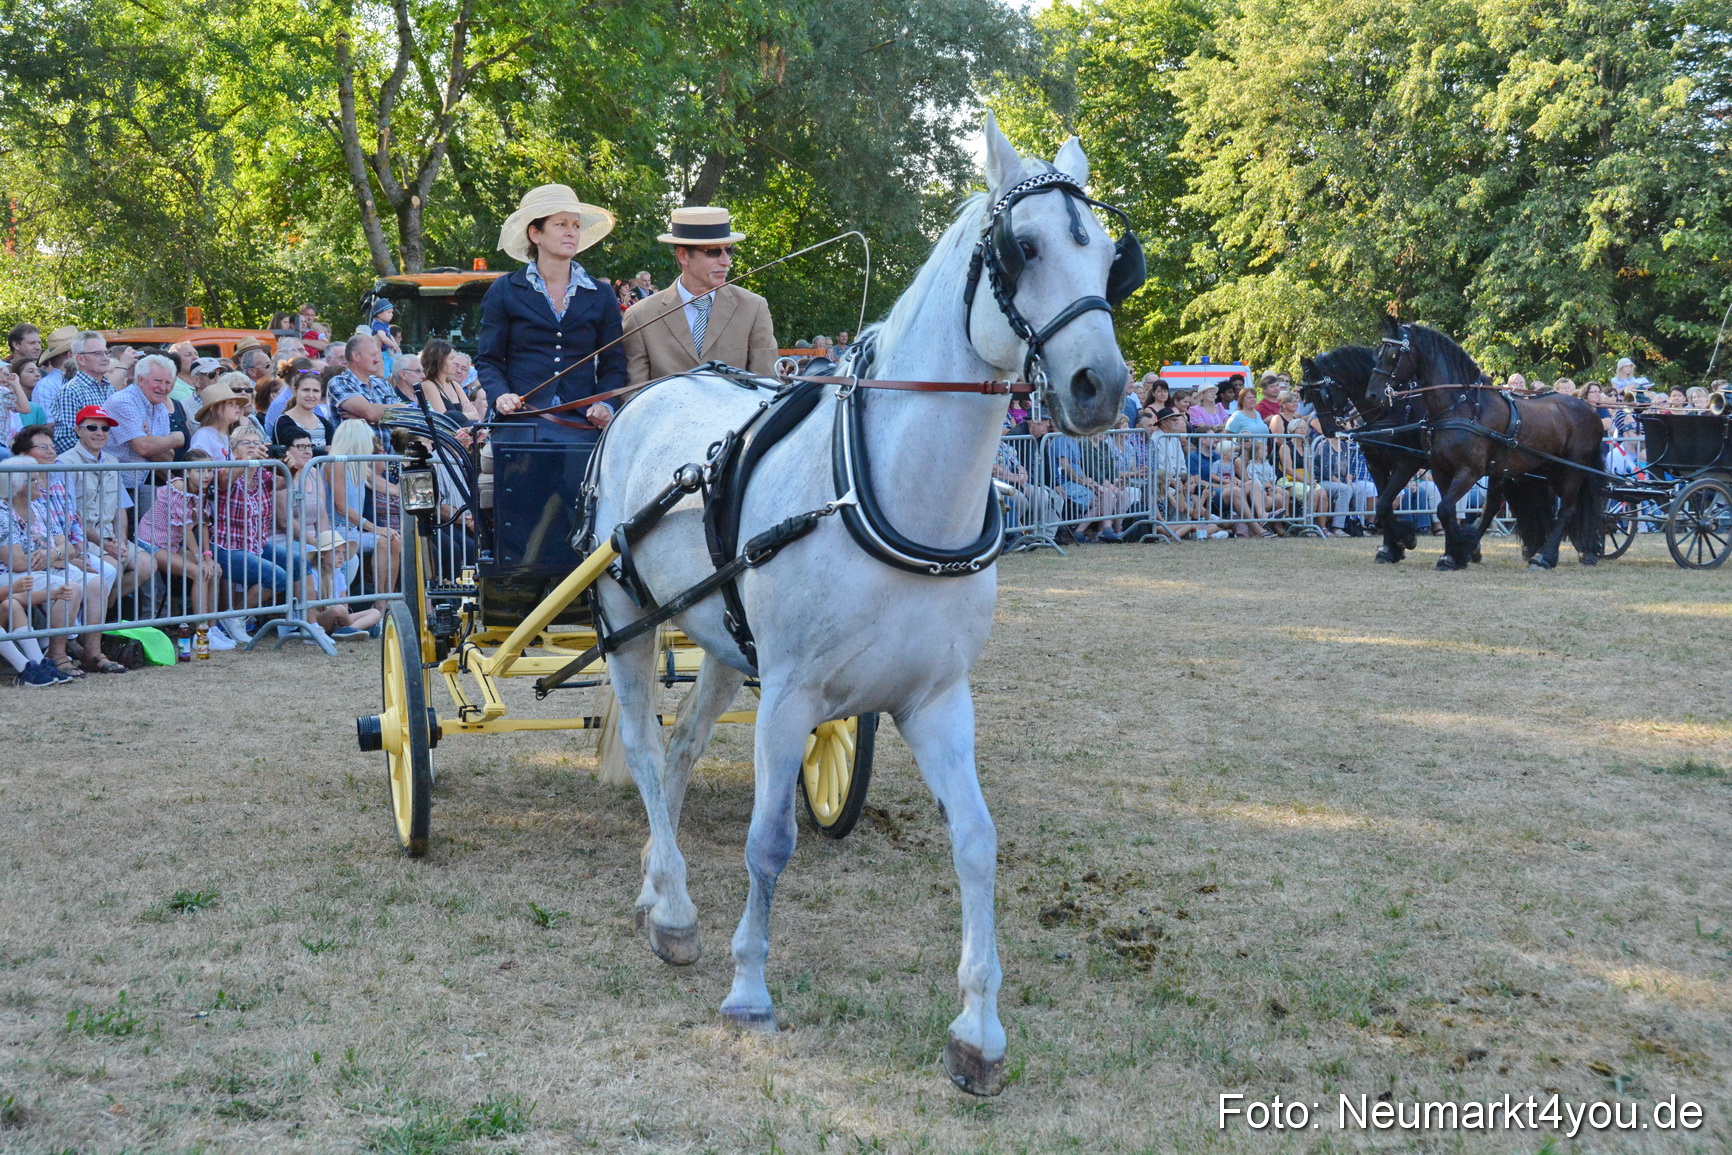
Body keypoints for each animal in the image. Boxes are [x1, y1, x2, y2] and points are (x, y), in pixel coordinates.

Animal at [585, 113, 1135, 1095]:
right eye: (1022, 246)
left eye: (1109, 255)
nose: (1099, 387)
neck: (898, 492)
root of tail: (649, 395)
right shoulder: (790, 694)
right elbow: (769, 840)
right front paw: (749, 991)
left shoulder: (936, 700)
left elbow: (977, 840)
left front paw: (978, 1030)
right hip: (625, 622)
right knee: (648, 756)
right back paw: (677, 908)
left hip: (721, 642)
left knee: (679, 755)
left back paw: (658, 889)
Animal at [1367, 317, 1605, 570]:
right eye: (1378, 352)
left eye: (1393, 354)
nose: (1372, 395)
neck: (1460, 408)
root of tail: (1589, 410)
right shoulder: (1440, 470)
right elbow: (1445, 510)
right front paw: (1452, 554)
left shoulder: (1468, 471)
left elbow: (1444, 509)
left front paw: (1460, 547)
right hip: (1539, 469)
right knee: (1495, 507)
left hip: (1572, 469)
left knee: (1567, 510)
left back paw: (1544, 557)